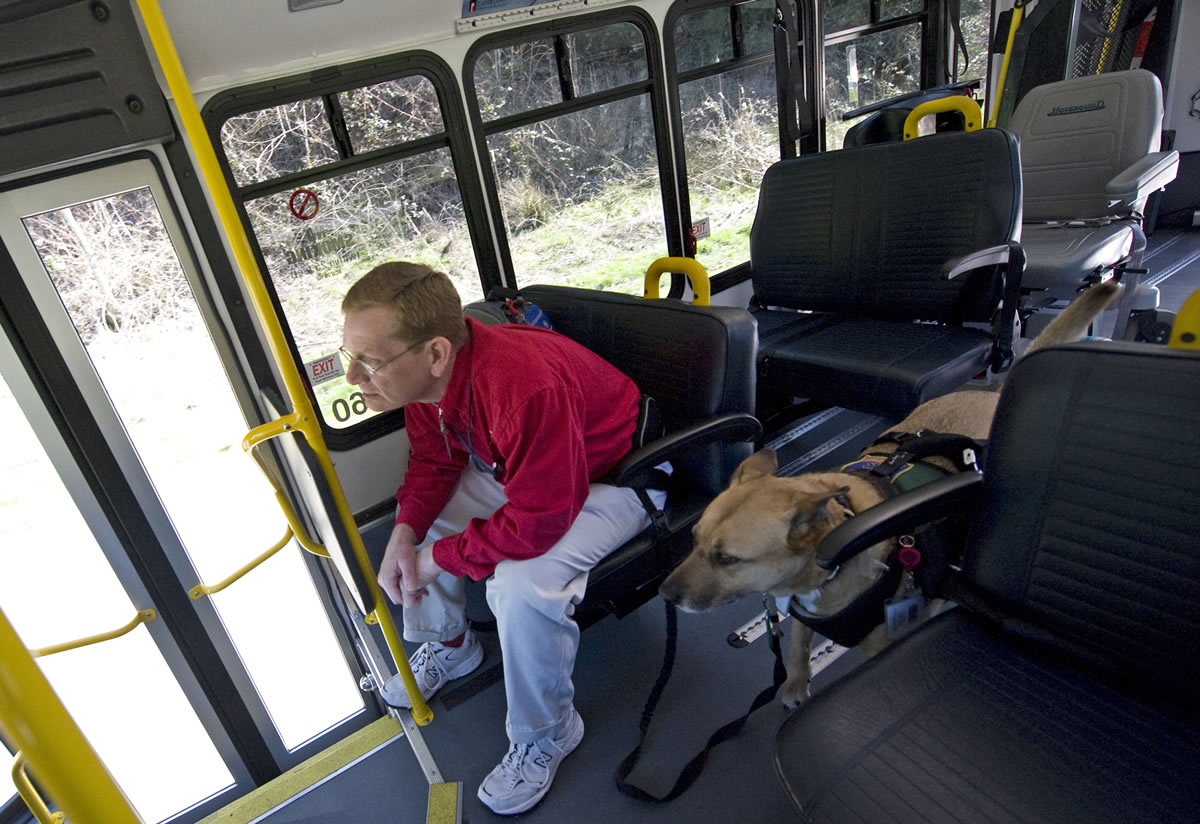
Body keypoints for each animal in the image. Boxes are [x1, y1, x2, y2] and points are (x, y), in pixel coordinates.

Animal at [662, 280, 1118, 705]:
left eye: (727, 559)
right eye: (693, 540)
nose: (665, 595)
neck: (833, 561)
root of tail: (997, 392)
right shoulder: (802, 614)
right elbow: (797, 644)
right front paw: (795, 681)